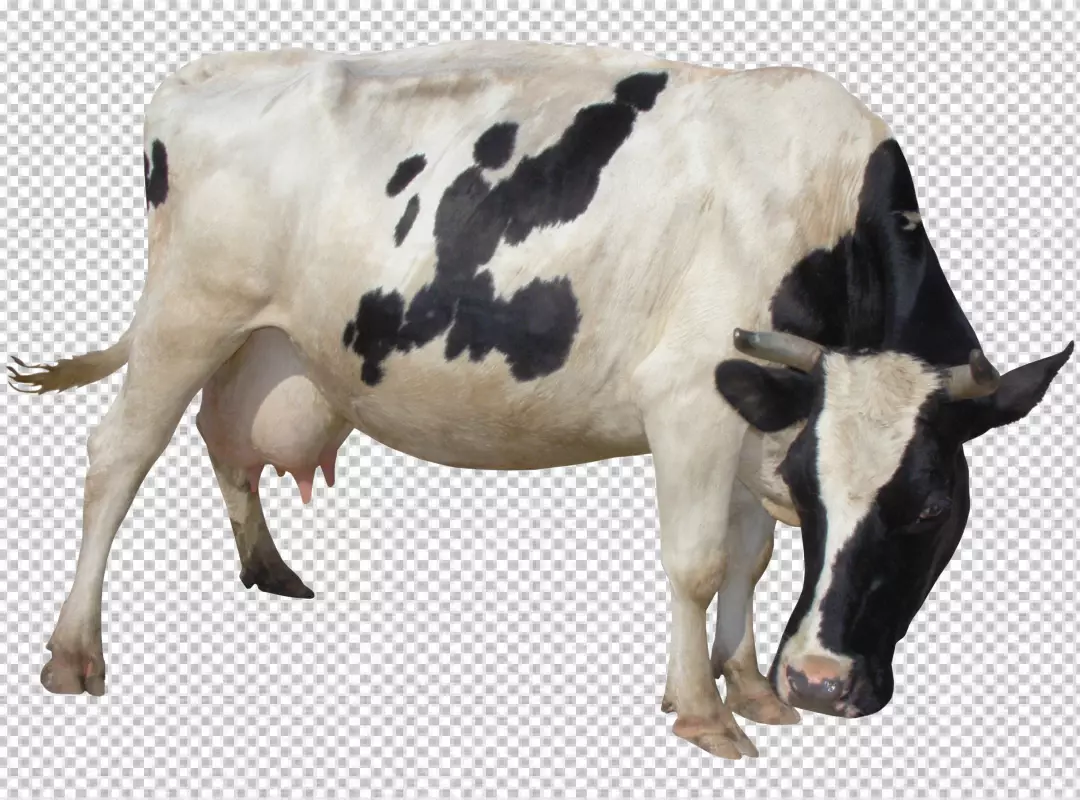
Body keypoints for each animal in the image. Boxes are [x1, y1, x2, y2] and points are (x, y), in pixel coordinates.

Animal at [8, 40, 1070, 760]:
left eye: (928, 507)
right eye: (823, 500)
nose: (818, 681)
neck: (822, 215)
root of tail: (202, 74)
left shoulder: (759, 417)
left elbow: (748, 559)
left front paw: (747, 685)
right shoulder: (690, 400)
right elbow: (698, 563)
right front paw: (703, 710)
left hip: (257, 341)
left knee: (223, 439)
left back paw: (268, 567)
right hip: (188, 313)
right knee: (118, 456)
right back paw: (74, 653)